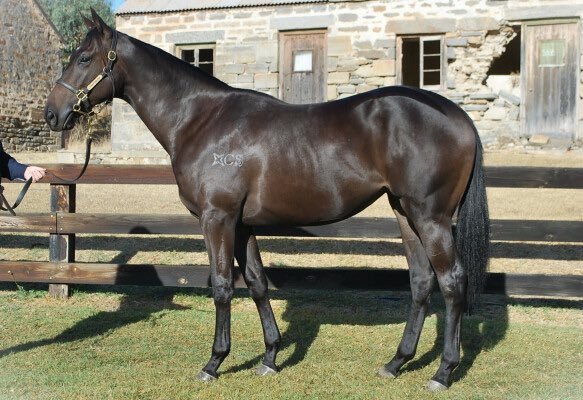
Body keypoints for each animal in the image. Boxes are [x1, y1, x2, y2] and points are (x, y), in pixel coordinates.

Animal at [45, 10, 490, 390]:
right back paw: (396, 363)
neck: (201, 120)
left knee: (452, 282)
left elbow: (223, 285)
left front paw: (214, 362)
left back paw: (443, 372)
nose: (51, 114)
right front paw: (271, 358)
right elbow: (257, 282)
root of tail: (458, 116)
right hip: (404, 213)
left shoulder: (217, 218)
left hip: (430, 217)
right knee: (421, 281)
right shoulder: (242, 224)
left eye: (83, 58)